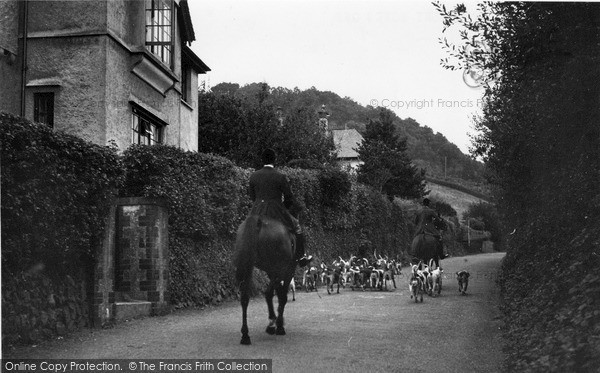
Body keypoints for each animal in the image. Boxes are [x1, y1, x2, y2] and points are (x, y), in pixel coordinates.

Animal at [232, 214, 296, 344]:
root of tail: (259, 221)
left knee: (245, 298)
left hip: (249, 266)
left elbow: (278, 294)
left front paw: (278, 321)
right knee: (269, 293)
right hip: (277, 268)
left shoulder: (273, 272)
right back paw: (272, 323)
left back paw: (245, 335)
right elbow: (282, 296)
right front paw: (279, 325)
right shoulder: (287, 271)